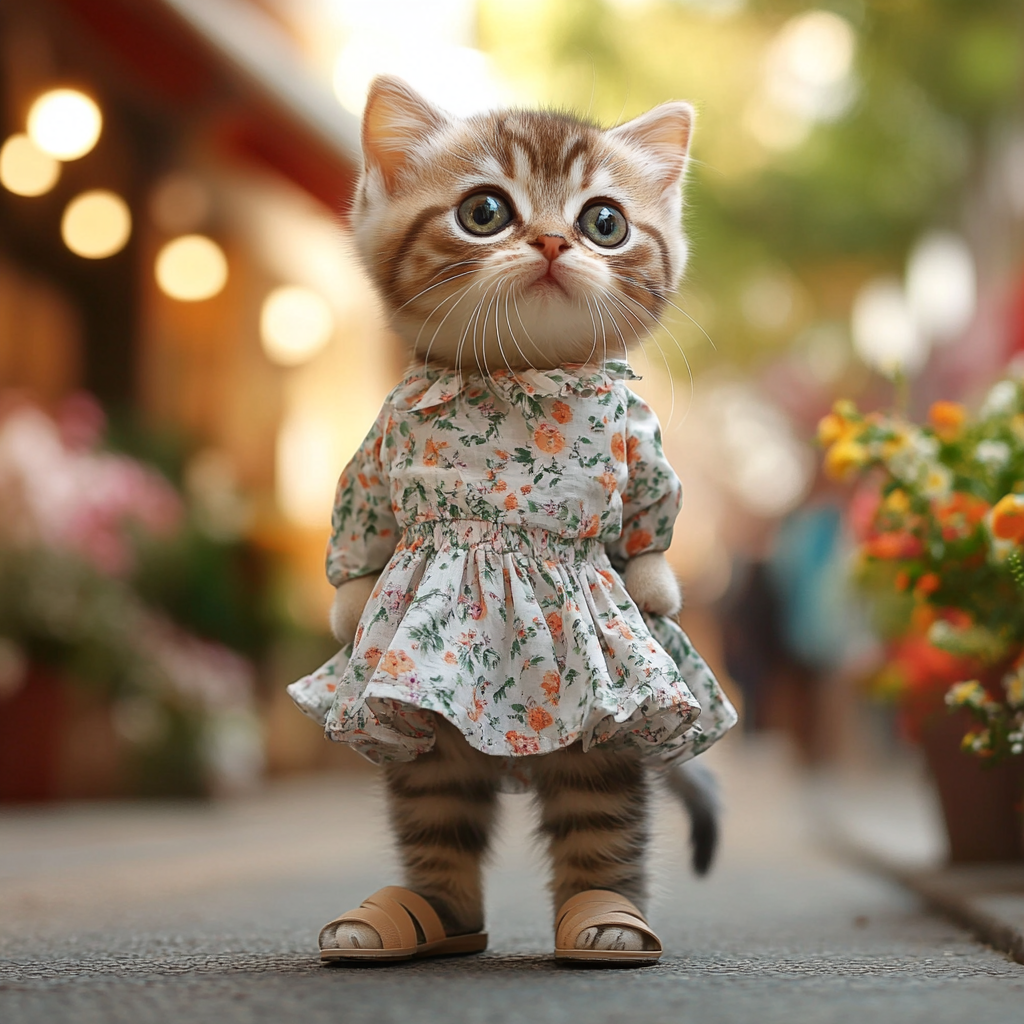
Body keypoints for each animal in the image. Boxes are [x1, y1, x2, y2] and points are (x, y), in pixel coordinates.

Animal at [315, 75, 724, 954]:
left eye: (604, 222)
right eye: (485, 212)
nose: (551, 244)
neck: (517, 378)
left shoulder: (642, 446)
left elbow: (652, 511)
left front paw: (655, 586)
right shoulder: (377, 450)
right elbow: (362, 518)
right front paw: (349, 601)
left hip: (602, 729)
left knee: (598, 813)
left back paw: (605, 920)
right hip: (423, 726)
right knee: (438, 814)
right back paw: (418, 918)